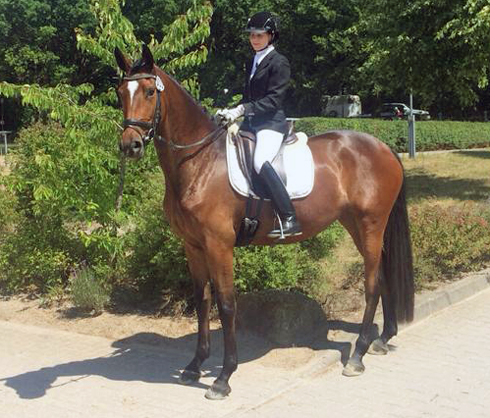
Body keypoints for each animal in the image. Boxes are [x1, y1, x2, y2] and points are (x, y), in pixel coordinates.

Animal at [114, 44, 414, 400]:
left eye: (149, 91)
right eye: (120, 92)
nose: (130, 145)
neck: (200, 161)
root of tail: (383, 147)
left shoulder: (219, 245)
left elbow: (226, 304)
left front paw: (224, 377)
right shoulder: (193, 245)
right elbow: (202, 302)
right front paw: (194, 366)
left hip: (371, 224)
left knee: (371, 283)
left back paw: (358, 355)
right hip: (354, 223)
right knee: (381, 275)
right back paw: (381, 339)